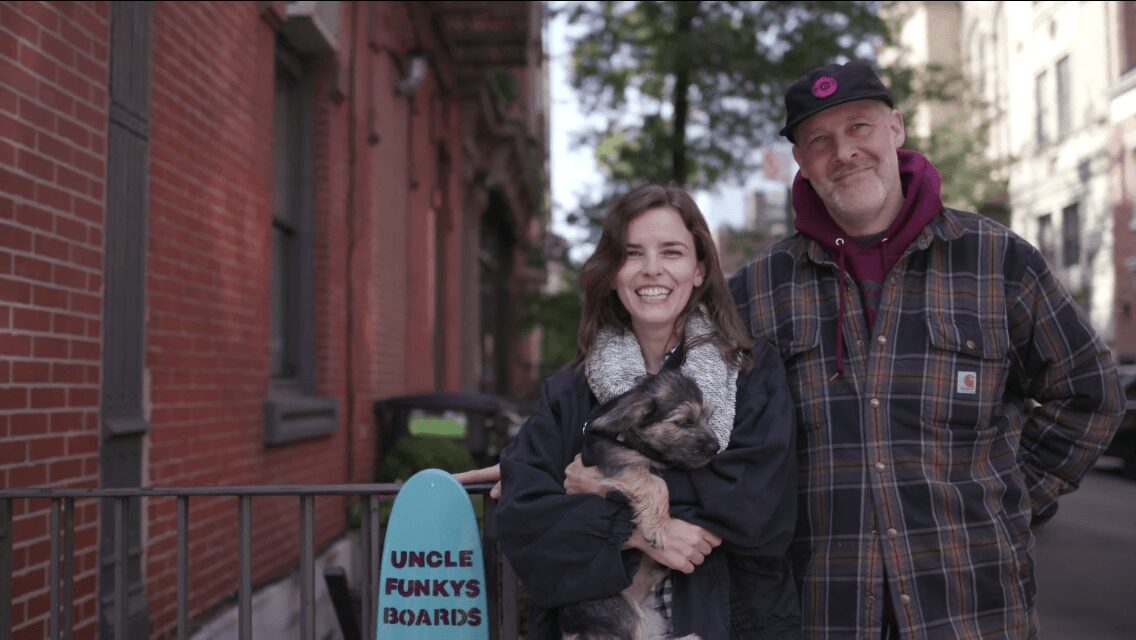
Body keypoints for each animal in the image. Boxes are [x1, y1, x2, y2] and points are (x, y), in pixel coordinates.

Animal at [559, 367, 719, 640]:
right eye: (684, 422)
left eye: (707, 417)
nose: (715, 447)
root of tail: (573, 630)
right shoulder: (623, 465)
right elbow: (657, 483)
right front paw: (657, 527)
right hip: (625, 613)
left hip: (650, 616)